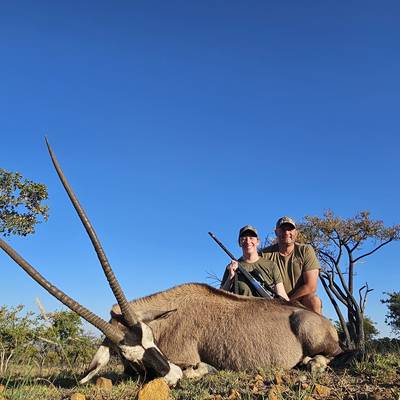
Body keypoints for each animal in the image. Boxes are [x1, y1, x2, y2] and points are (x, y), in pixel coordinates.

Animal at [0, 139, 343, 386]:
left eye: (152, 340)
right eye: (128, 356)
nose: (171, 376)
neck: (169, 316)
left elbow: (199, 367)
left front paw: (197, 371)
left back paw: (311, 363)